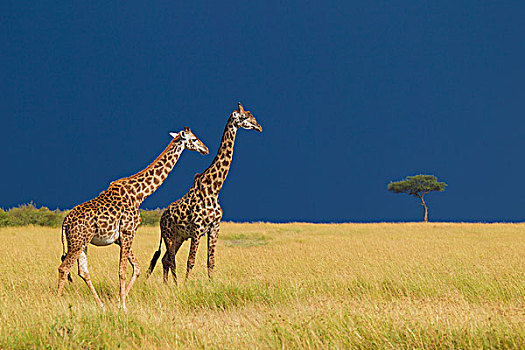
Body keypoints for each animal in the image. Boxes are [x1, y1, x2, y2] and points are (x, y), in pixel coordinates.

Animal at [55, 128, 207, 308]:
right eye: (194, 139)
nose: (205, 149)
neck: (140, 194)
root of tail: (65, 222)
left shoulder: (121, 237)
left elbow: (137, 268)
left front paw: (119, 301)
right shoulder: (128, 232)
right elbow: (123, 271)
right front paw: (123, 306)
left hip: (82, 243)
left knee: (83, 271)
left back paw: (101, 305)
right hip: (77, 242)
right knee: (64, 268)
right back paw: (57, 301)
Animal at [145, 102, 262, 284]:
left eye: (252, 116)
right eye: (245, 117)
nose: (259, 127)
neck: (213, 189)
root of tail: (162, 217)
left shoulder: (215, 227)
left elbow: (211, 261)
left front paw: (211, 283)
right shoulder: (197, 228)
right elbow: (191, 261)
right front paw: (186, 285)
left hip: (179, 237)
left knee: (165, 259)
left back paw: (167, 285)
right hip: (169, 235)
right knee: (170, 259)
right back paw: (173, 284)